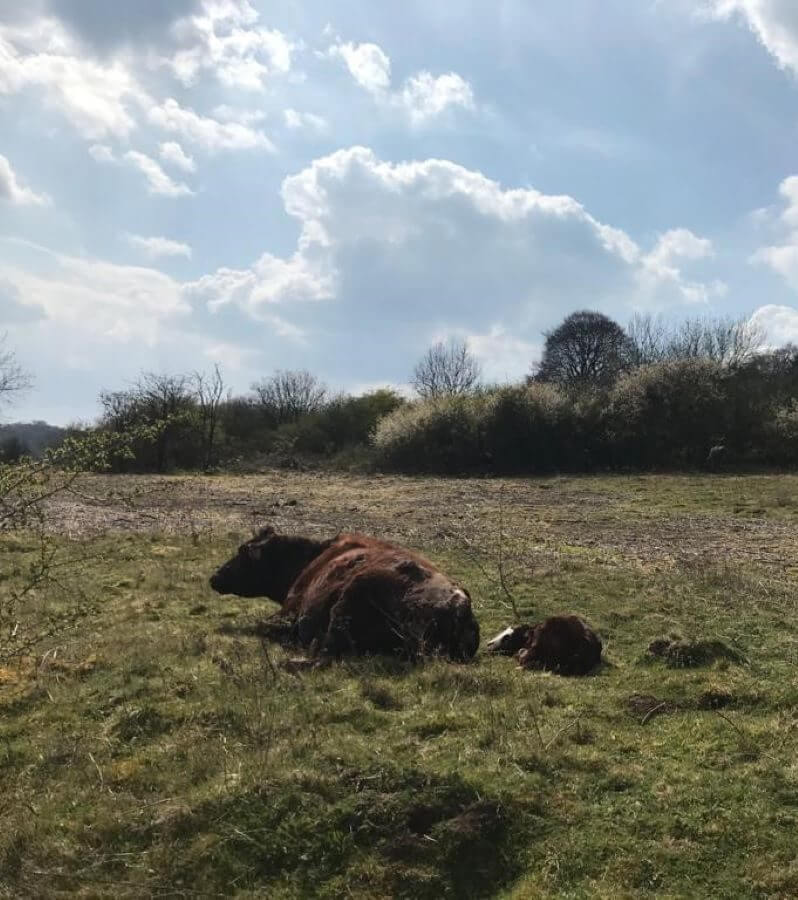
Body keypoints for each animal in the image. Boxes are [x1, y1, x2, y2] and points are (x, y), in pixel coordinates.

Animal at [209, 526, 480, 662]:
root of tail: (460, 605)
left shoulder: (289, 609)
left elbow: (261, 624)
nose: (215, 576)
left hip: (349, 600)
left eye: (243, 552)